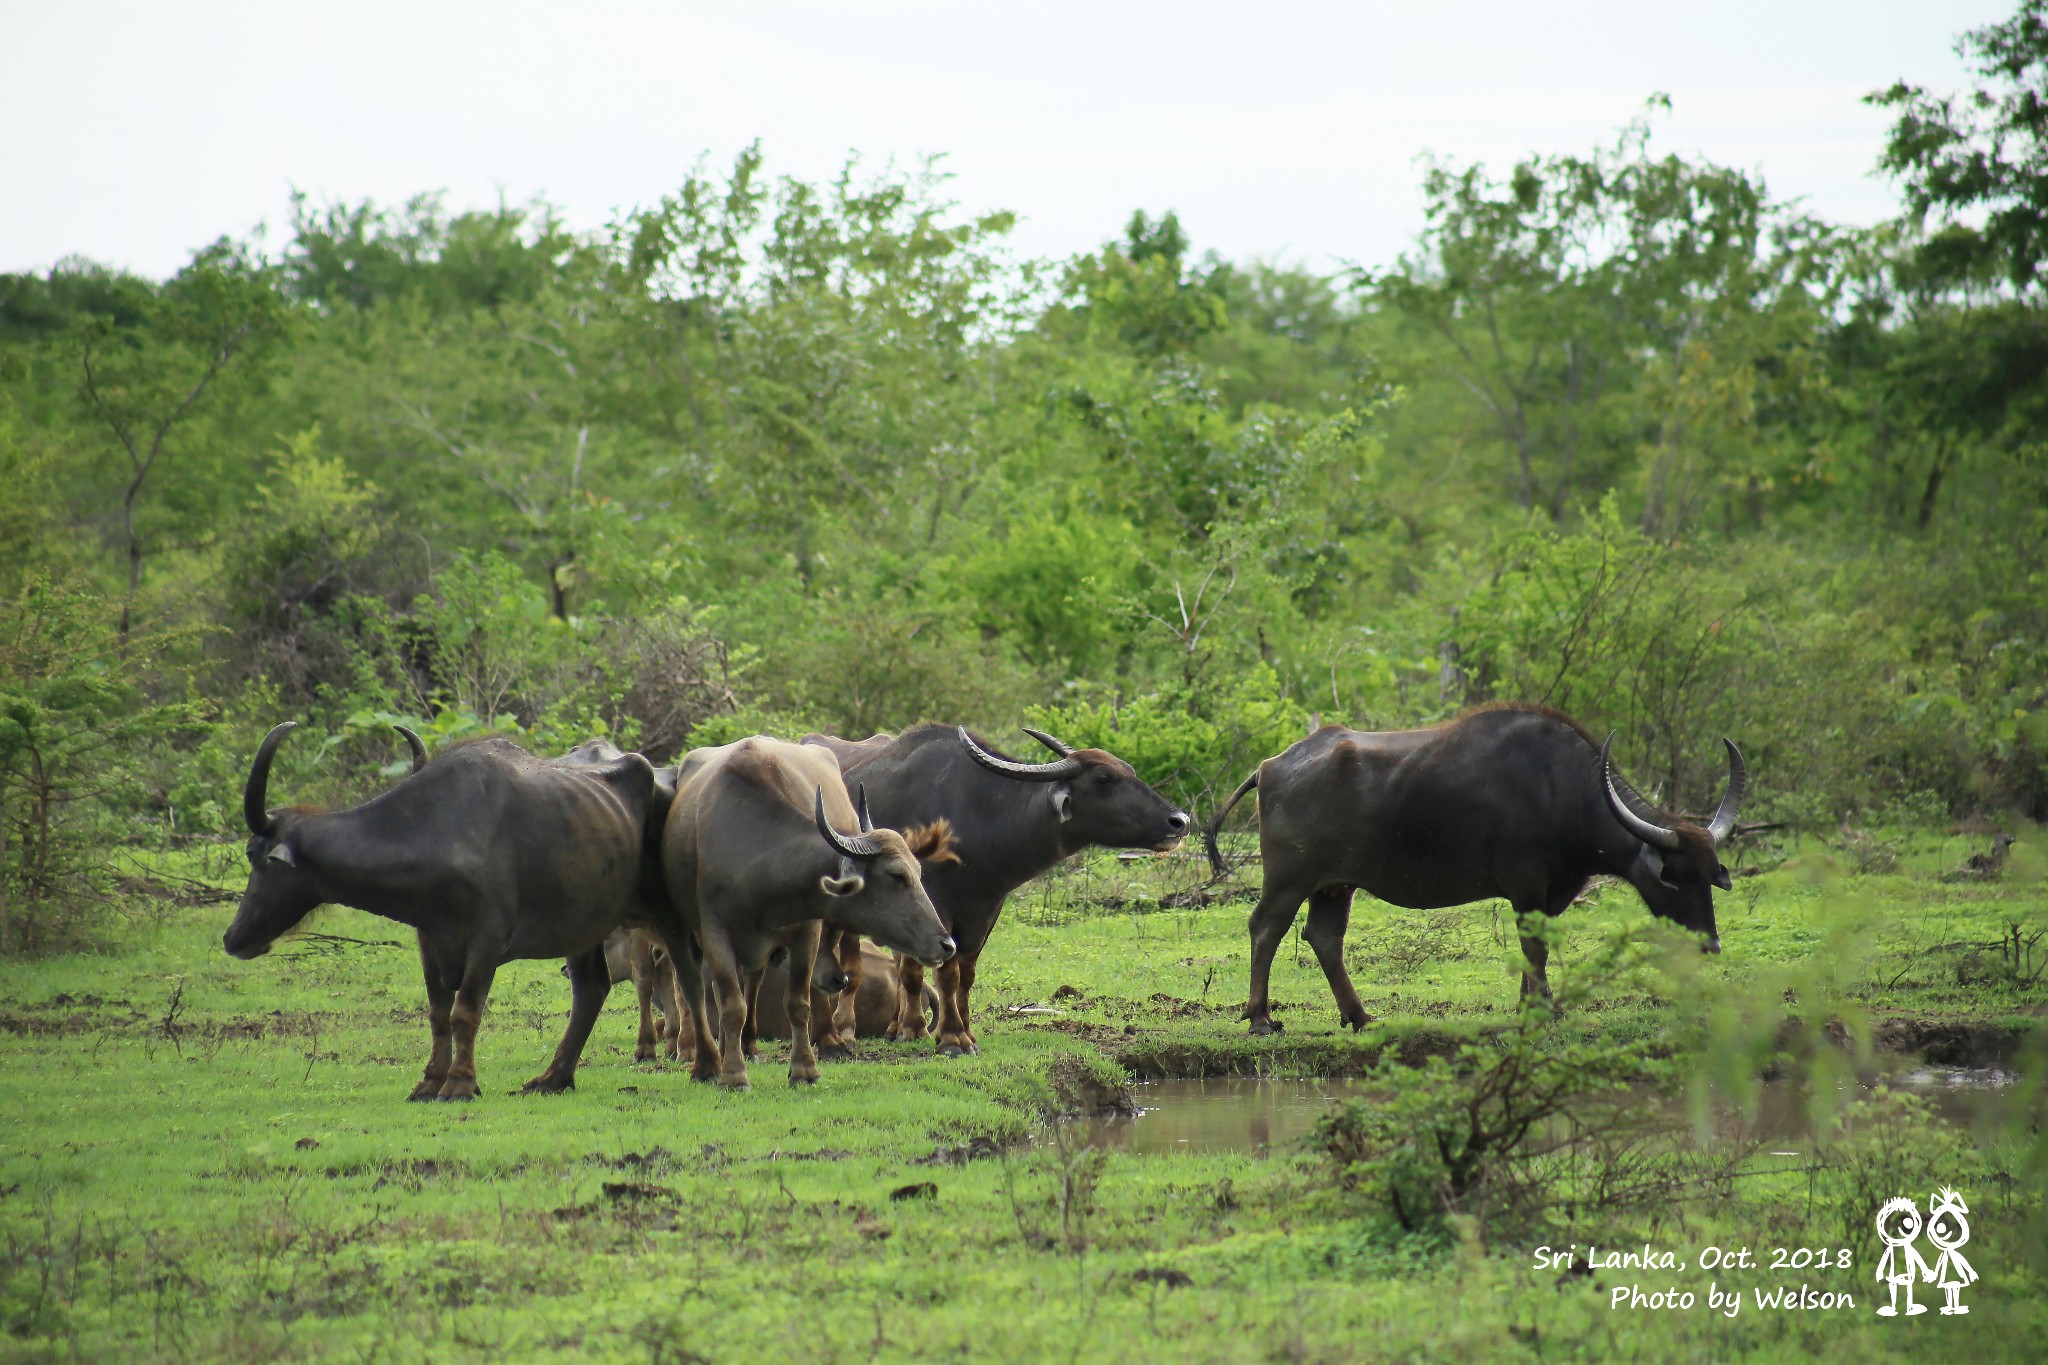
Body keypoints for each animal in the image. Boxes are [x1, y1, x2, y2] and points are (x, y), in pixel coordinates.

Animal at [226, 724, 679, 1096]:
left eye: (254, 855)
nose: (233, 938)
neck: (438, 832)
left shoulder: (487, 939)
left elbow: (465, 1011)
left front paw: (460, 1083)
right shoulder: (429, 938)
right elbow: (438, 1013)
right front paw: (430, 1081)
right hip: (582, 927)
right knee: (591, 990)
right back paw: (553, 1078)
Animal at [667, 736, 962, 1088]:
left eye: (918, 871)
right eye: (897, 875)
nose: (947, 944)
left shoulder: (807, 930)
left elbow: (797, 1002)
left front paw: (804, 1069)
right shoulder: (714, 933)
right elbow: (729, 1005)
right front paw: (733, 1075)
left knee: (754, 982)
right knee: (703, 991)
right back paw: (711, 1061)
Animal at [794, 724, 1187, 1055]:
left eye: (1130, 771)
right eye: (1104, 779)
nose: (1179, 821)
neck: (979, 816)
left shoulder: (985, 908)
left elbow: (965, 972)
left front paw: (963, 1032)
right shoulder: (935, 901)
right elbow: (945, 970)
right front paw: (952, 1039)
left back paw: (901, 1027)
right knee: (851, 964)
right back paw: (844, 1032)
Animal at [1204, 703, 1753, 1035]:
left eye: (1712, 874)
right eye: (1675, 876)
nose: (1710, 943)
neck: (1564, 792)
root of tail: (1269, 767)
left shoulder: (1550, 893)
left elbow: (1537, 946)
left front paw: (1530, 1003)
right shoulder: (1526, 884)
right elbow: (1533, 945)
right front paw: (1545, 1009)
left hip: (1336, 885)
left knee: (1323, 937)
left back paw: (1359, 1016)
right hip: (1289, 878)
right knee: (1266, 927)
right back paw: (1259, 1018)